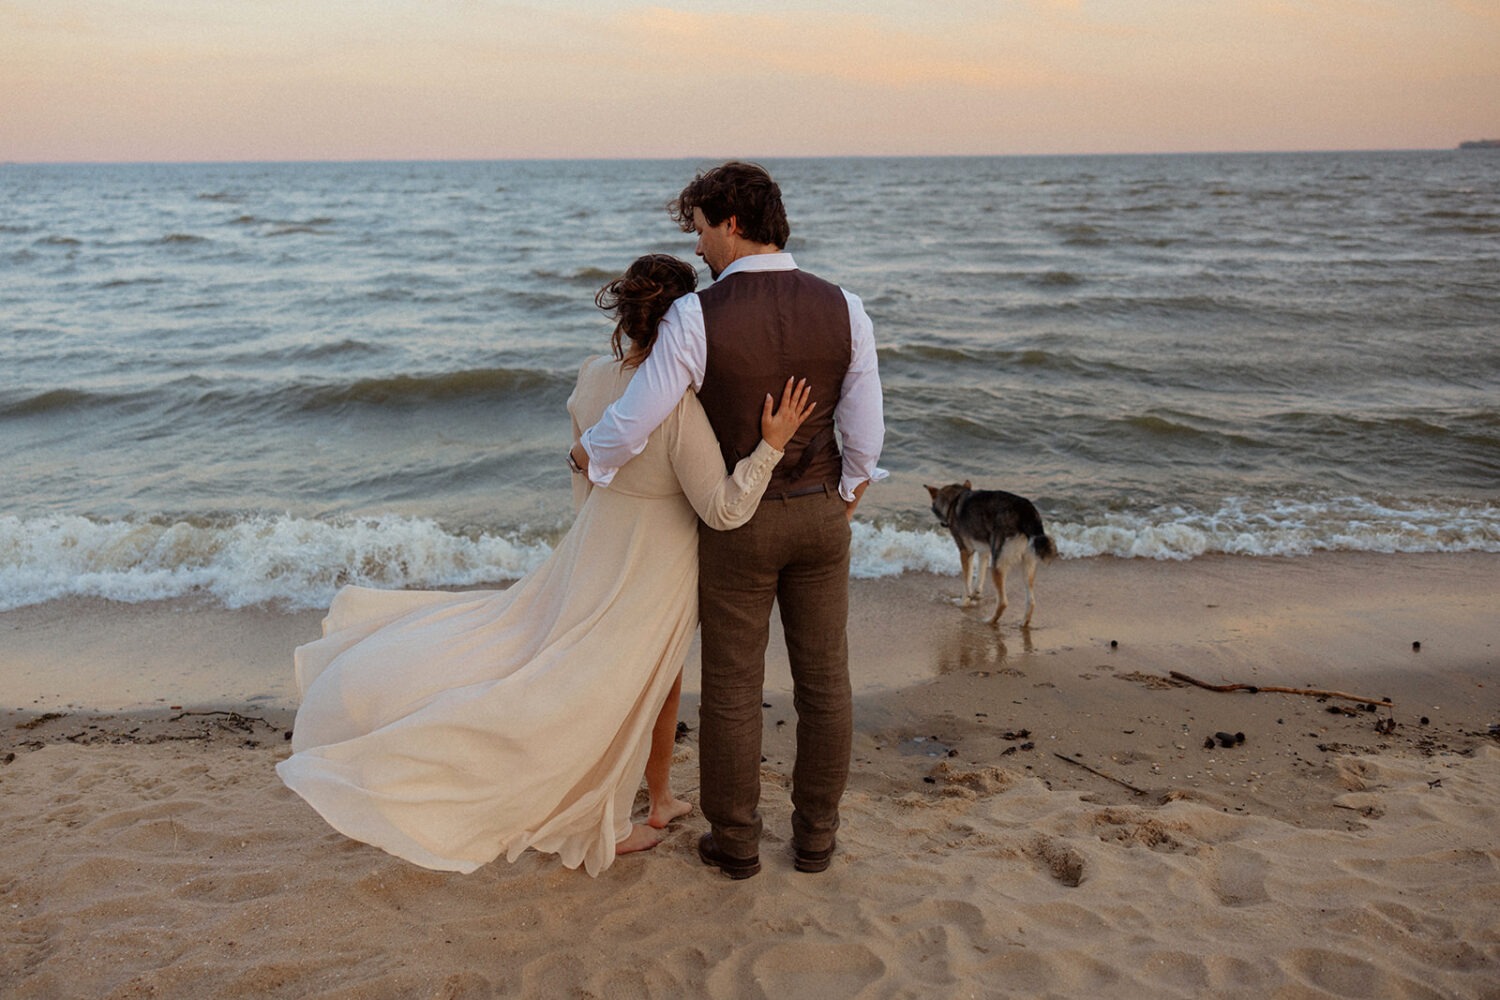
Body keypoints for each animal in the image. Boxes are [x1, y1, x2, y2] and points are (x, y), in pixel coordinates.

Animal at [918, 482, 1062, 626]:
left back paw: (989, 621)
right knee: (1031, 601)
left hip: (997, 565)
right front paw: (975, 594)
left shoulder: (965, 552)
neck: (954, 499)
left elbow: (966, 581)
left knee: (1003, 602)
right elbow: (979, 577)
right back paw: (1023, 623)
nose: (943, 524)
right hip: (1027, 567)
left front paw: (964, 602)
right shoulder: (984, 552)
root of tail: (1027, 511)